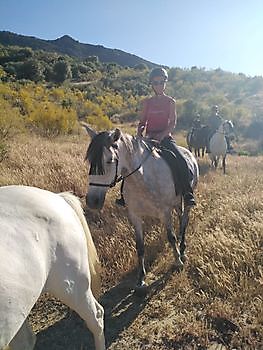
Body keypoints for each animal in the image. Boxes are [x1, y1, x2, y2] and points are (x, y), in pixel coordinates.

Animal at [83, 124, 199, 292]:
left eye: (110, 160)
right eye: (90, 161)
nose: (92, 201)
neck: (142, 179)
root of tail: (188, 152)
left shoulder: (165, 212)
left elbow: (171, 237)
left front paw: (178, 262)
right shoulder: (135, 215)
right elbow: (140, 246)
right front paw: (141, 279)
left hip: (186, 199)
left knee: (184, 222)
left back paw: (182, 250)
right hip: (177, 203)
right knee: (181, 217)